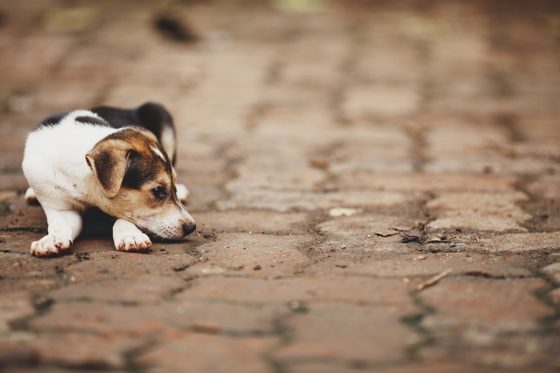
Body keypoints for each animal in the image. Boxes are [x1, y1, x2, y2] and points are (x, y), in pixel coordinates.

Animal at [21, 101, 197, 258]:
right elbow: (60, 224)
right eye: (158, 190)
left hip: (158, 110)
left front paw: (131, 236)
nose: (192, 227)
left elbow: (123, 217)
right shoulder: (60, 208)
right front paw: (51, 241)